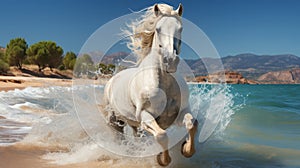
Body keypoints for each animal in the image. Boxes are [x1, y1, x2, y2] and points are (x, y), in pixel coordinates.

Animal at [103, 3, 199, 166]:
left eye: (180, 28)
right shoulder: (145, 116)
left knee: (136, 137)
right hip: (114, 120)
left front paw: (186, 149)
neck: (164, 83)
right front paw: (162, 159)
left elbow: (192, 124)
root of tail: (111, 80)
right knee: (119, 138)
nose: (170, 60)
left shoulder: (181, 111)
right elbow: (161, 135)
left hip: (133, 124)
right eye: (158, 29)